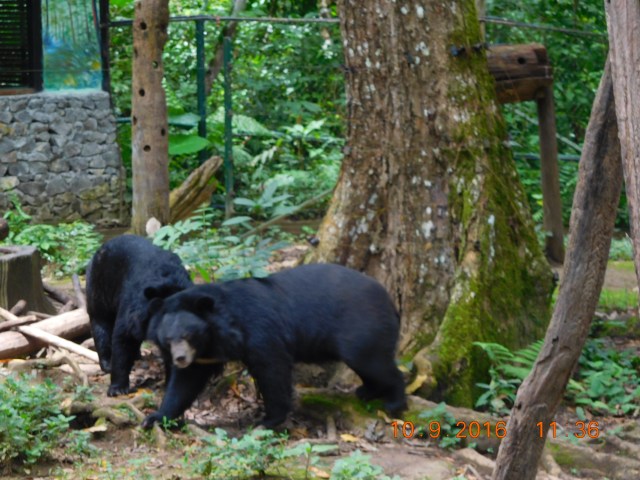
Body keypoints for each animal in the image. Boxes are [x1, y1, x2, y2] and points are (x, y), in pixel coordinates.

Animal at [85, 234, 193, 396]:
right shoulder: (133, 303)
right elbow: (122, 337)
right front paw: (117, 387)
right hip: (99, 284)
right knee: (100, 322)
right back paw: (107, 363)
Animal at [141, 263, 407, 428]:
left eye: (188, 335)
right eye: (169, 339)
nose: (180, 359)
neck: (216, 334)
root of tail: (391, 302)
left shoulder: (260, 331)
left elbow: (272, 369)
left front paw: (269, 419)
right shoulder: (204, 355)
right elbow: (185, 384)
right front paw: (155, 418)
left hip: (362, 328)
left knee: (374, 362)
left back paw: (394, 402)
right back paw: (367, 391)